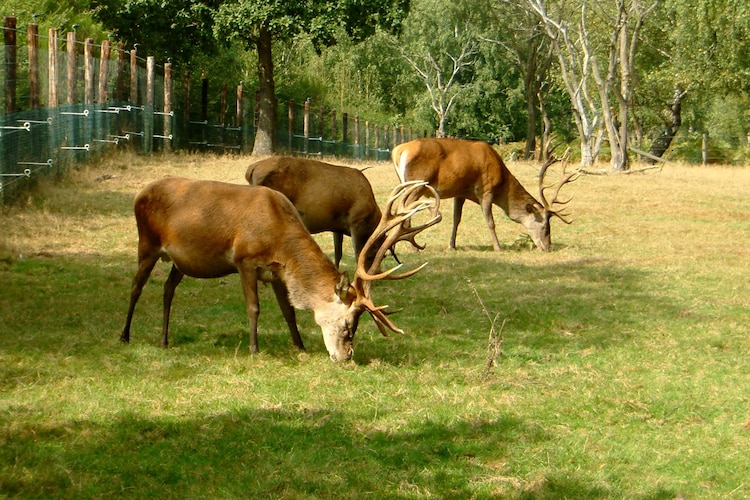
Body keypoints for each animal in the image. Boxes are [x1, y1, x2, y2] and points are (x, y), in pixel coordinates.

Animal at [120, 178, 444, 362]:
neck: (277, 234)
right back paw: (124, 336)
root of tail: (139, 193)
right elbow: (254, 308)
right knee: (136, 286)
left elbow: (288, 310)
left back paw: (164, 340)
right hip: (147, 243)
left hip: (181, 261)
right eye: (347, 324)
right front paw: (254, 349)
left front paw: (300, 346)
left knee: (168, 289)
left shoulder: (277, 271)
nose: (346, 357)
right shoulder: (244, 260)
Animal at [247, 157, 384, 270]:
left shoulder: (337, 227)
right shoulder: (356, 222)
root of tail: (251, 169)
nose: (377, 274)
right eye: (376, 253)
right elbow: (358, 254)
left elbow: (338, 253)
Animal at [390, 137, 580, 252]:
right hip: (416, 184)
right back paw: (413, 247)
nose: (548, 247)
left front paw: (452, 245)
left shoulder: (460, 192)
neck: (502, 181)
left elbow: (456, 219)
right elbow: (490, 221)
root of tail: (398, 151)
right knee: (404, 211)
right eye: (546, 227)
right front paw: (498, 247)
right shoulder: (486, 189)